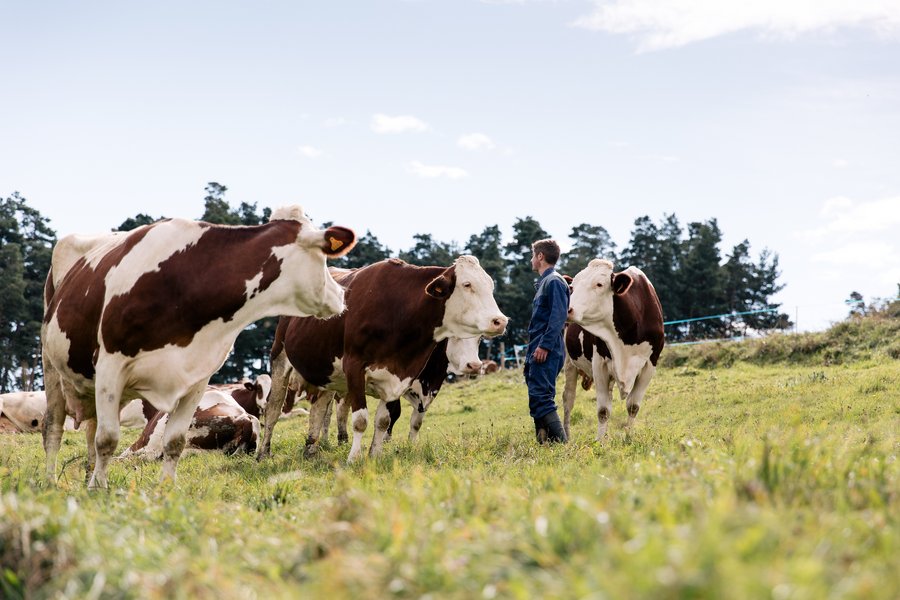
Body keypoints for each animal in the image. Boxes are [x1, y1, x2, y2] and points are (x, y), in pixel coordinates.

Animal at [258, 256, 507, 462]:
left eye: (491, 285)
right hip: (280, 358)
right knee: (273, 408)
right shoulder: (354, 367)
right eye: (467, 284)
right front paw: (354, 459)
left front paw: (375, 456)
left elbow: (385, 420)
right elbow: (361, 420)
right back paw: (264, 454)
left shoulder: (399, 376)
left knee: (319, 409)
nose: (500, 321)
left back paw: (311, 450)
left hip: (325, 371)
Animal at [563, 260, 664, 441]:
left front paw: (628, 436)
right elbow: (603, 409)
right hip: (569, 361)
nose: (569, 309)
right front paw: (600, 440)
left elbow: (633, 405)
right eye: (572, 287)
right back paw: (567, 437)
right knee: (568, 398)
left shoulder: (650, 364)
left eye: (599, 284)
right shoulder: (599, 365)